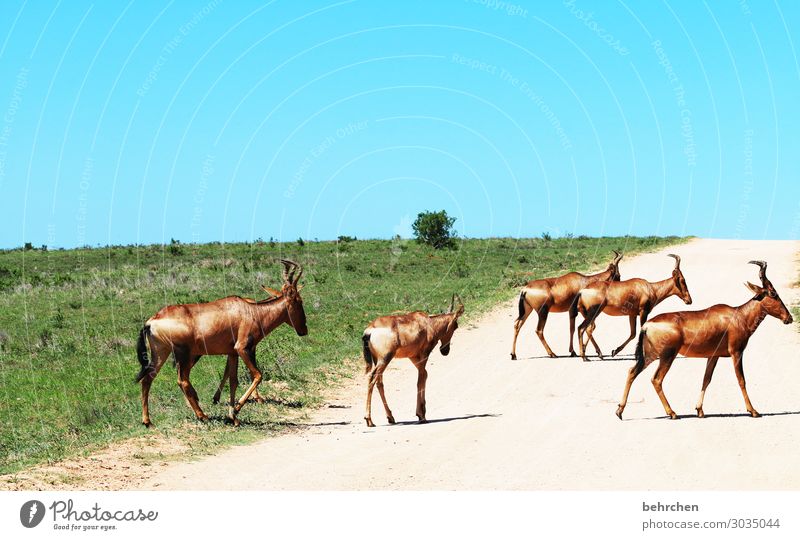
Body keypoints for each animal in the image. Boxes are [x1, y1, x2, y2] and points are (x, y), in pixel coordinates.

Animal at [134, 260, 306, 428]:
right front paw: (236, 410)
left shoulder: (233, 353)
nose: (303, 330)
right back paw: (203, 416)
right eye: (299, 301)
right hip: (184, 355)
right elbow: (257, 375)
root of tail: (151, 321)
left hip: (161, 352)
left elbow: (233, 381)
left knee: (148, 379)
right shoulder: (243, 349)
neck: (251, 311)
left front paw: (233, 418)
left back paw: (148, 421)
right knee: (182, 381)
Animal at [360, 296, 462, 426]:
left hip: (378, 359)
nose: (445, 350)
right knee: (372, 379)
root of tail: (370, 331)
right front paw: (421, 415)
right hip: (385, 359)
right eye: (456, 326)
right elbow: (421, 378)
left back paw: (391, 417)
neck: (427, 323)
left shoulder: (413, 357)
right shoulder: (424, 354)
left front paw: (422, 413)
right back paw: (369, 420)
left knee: (379, 382)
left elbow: (424, 375)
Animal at [616, 260, 792, 420]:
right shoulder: (736, 352)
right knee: (656, 379)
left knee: (632, 371)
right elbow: (741, 380)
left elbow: (706, 379)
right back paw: (672, 413)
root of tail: (647, 325)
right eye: (773, 294)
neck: (738, 315)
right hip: (667, 356)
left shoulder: (713, 356)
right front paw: (753, 411)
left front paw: (699, 410)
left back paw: (620, 411)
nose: (789, 318)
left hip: (650, 355)